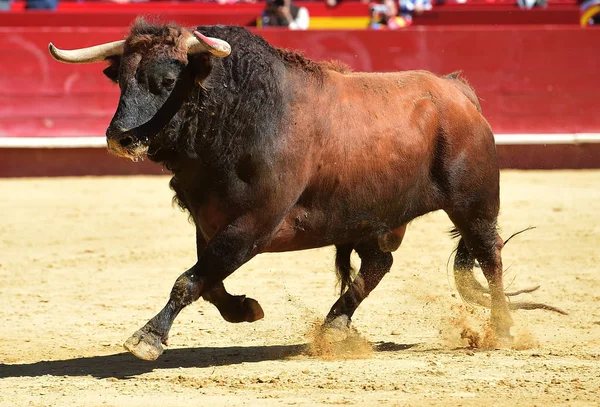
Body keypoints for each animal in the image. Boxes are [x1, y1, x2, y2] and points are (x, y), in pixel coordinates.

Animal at [48, 20, 564, 362]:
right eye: (122, 80)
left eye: (167, 80)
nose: (120, 137)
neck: (236, 114)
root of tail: (458, 91)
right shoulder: (210, 219)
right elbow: (208, 281)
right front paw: (245, 309)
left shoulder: (254, 223)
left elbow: (191, 278)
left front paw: (147, 338)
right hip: (376, 217)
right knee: (378, 265)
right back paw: (334, 328)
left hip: (474, 205)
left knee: (491, 258)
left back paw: (502, 330)